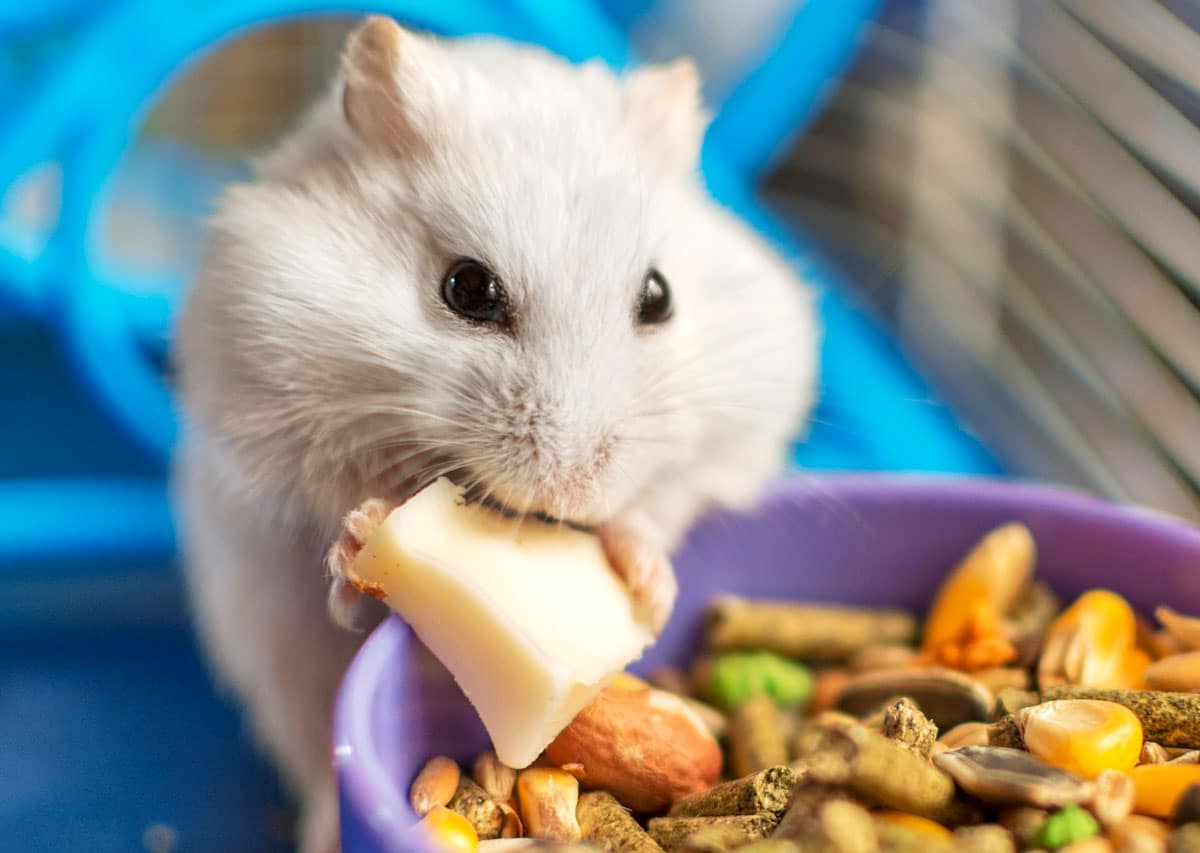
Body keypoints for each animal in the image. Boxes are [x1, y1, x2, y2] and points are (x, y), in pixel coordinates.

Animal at [174, 14, 820, 853]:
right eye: (467, 289)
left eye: (660, 296)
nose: (571, 491)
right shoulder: (266, 396)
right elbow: (337, 490)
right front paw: (366, 534)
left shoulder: (735, 428)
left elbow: (657, 507)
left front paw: (649, 592)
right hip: (275, 653)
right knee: (316, 763)